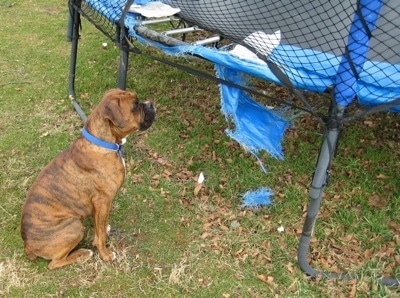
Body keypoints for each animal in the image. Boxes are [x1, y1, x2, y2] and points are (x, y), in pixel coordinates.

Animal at [20, 89, 155, 270]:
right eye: (134, 106)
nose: (150, 104)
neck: (104, 143)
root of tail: (27, 244)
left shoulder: (102, 205)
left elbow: (100, 226)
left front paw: (104, 229)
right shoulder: (102, 201)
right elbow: (100, 237)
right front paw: (105, 254)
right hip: (74, 226)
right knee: (54, 263)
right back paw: (83, 254)